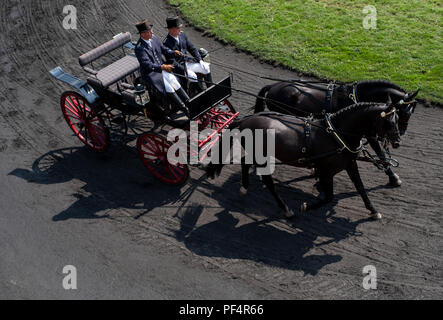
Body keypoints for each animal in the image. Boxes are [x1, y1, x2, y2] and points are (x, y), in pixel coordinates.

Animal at [208, 102, 402, 220]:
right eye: (389, 122)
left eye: (397, 119)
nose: (398, 142)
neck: (336, 134)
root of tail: (244, 120)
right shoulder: (326, 171)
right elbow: (328, 197)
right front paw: (306, 206)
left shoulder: (349, 164)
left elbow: (360, 187)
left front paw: (373, 211)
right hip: (262, 156)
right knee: (268, 181)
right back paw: (286, 209)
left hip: (258, 154)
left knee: (245, 162)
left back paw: (244, 188)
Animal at [255, 79, 418, 188]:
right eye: (405, 112)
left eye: (409, 113)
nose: (401, 132)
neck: (355, 98)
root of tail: (272, 86)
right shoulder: (368, 131)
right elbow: (381, 153)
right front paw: (393, 177)